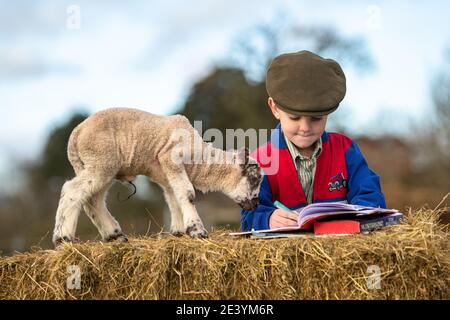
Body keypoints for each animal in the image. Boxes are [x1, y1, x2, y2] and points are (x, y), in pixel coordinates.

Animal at [51, 107, 264, 248]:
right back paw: (63, 239)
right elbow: (188, 194)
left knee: (93, 199)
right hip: (100, 160)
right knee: (72, 190)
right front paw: (197, 231)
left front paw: (179, 232)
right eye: (254, 179)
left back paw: (114, 235)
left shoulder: (165, 173)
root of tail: (76, 134)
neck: (200, 161)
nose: (256, 203)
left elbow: (174, 198)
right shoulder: (171, 158)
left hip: (97, 166)